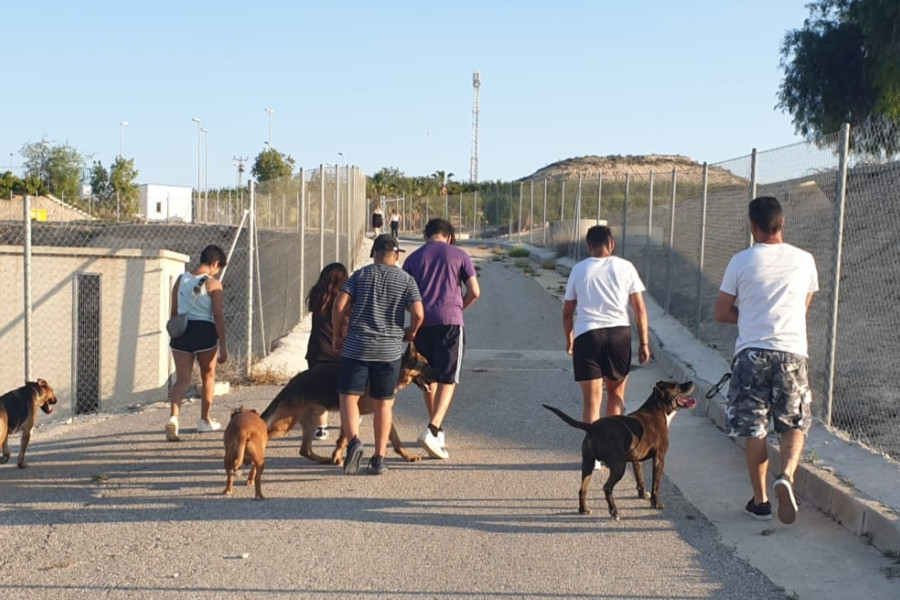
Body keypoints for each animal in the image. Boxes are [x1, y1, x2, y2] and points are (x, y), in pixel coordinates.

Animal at [540, 382, 696, 524]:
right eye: (676, 385)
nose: (691, 382)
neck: (656, 410)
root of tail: (593, 428)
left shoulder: (636, 459)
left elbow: (640, 479)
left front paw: (642, 495)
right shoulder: (659, 458)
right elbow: (656, 485)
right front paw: (656, 503)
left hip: (587, 464)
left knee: (582, 489)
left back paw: (584, 509)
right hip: (618, 466)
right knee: (607, 488)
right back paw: (614, 512)